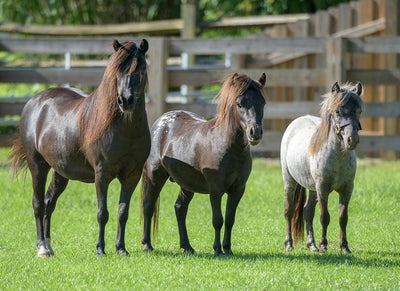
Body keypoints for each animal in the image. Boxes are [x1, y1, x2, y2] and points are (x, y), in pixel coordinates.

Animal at [9, 39, 151, 258]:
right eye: (117, 70)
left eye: (141, 68)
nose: (125, 100)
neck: (125, 129)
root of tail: (34, 101)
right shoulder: (101, 174)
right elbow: (102, 213)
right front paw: (100, 249)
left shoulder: (132, 176)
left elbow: (122, 212)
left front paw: (121, 248)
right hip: (37, 166)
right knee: (38, 204)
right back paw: (42, 247)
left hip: (60, 173)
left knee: (49, 203)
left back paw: (49, 246)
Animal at [141, 73, 266, 258]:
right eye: (239, 104)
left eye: (262, 102)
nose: (255, 132)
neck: (227, 146)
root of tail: (160, 122)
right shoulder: (215, 190)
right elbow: (218, 220)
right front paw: (217, 249)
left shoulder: (238, 190)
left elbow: (230, 220)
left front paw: (228, 249)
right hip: (155, 177)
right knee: (148, 206)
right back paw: (147, 245)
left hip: (187, 184)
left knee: (180, 209)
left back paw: (187, 246)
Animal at [282, 81, 362, 254]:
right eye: (337, 111)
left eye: (359, 111)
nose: (352, 140)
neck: (338, 157)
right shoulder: (322, 189)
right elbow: (324, 217)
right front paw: (323, 245)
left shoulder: (347, 189)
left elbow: (343, 218)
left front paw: (344, 247)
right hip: (290, 181)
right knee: (289, 211)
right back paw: (289, 244)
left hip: (312, 188)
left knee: (307, 211)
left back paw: (311, 244)